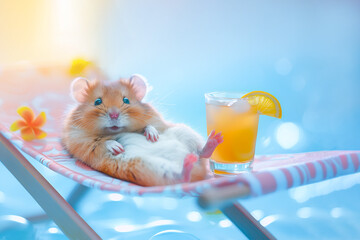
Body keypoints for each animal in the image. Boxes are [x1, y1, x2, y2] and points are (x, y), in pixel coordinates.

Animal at [63, 74, 224, 187]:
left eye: (126, 100)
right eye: (97, 102)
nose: (114, 115)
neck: (114, 131)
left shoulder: (156, 121)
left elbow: (150, 126)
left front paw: (152, 136)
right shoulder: (80, 142)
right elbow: (100, 142)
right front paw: (117, 147)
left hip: (185, 133)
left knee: (202, 153)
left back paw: (214, 139)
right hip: (155, 170)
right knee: (182, 178)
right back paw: (188, 164)